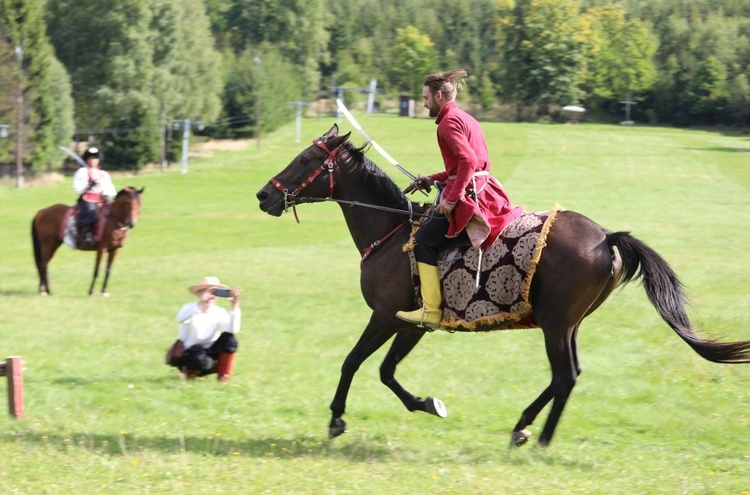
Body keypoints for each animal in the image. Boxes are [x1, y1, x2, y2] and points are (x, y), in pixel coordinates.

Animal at [256, 125, 748, 450]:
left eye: (305, 159)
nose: (264, 195)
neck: (391, 233)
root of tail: (607, 237)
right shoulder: (410, 325)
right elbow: (384, 371)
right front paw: (427, 404)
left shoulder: (387, 317)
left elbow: (355, 363)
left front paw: (338, 419)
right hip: (567, 324)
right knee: (569, 374)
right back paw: (524, 427)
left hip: (555, 323)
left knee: (564, 375)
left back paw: (540, 438)